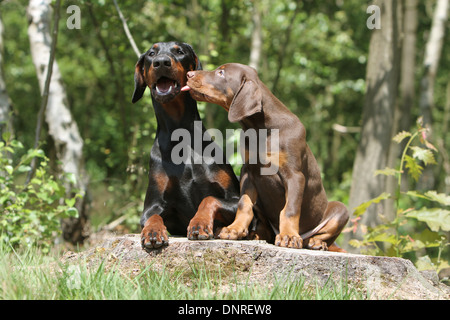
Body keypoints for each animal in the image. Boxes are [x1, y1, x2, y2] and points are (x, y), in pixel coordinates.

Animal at [132, 42, 241, 250]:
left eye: (180, 51)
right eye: (151, 53)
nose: (161, 62)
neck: (181, 137)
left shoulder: (235, 199)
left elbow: (209, 199)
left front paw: (200, 223)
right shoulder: (152, 205)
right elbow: (153, 216)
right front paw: (153, 232)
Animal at [181, 63, 350, 252]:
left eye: (221, 72)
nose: (189, 74)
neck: (260, 129)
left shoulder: (294, 175)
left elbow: (290, 209)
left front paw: (289, 236)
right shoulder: (248, 172)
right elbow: (244, 204)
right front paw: (234, 229)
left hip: (340, 210)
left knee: (324, 235)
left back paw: (316, 242)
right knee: (265, 229)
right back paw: (254, 234)